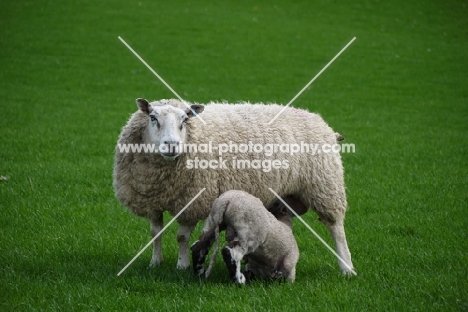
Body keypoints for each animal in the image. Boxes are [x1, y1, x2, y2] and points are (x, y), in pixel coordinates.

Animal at [113, 98, 354, 274]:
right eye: (153, 118)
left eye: (184, 121)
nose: (171, 146)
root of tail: (321, 122)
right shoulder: (152, 201)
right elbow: (155, 233)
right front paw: (156, 262)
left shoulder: (192, 201)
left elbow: (181, 237)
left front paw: (182, 266)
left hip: (325, 185)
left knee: (336, 228)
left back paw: (347, 268)